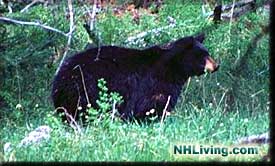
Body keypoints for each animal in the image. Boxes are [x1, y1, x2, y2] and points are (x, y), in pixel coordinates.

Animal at [51, 33, 220, 122]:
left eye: (207, 53)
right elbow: (149, 105)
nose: (216, 65)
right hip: (86, 88)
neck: (172, 68)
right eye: (203, 56)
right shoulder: (152, 85)